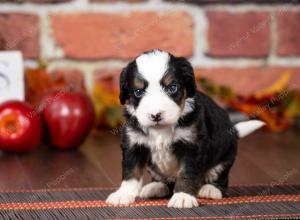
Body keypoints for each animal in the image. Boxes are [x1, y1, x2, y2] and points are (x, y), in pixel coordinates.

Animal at [106, 49, 264, 208]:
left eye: (172, 87)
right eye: (138, 91)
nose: (156, 115)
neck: (161, 129)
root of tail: (233, 130)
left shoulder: (192, 145)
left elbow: (187, 173)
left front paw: (183, 196)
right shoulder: (133, 144)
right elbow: (131, 172)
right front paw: (123, 194)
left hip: (225, 157)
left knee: (220, 178)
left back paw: (210, 190)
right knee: (164, 182)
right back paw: (155, 187)